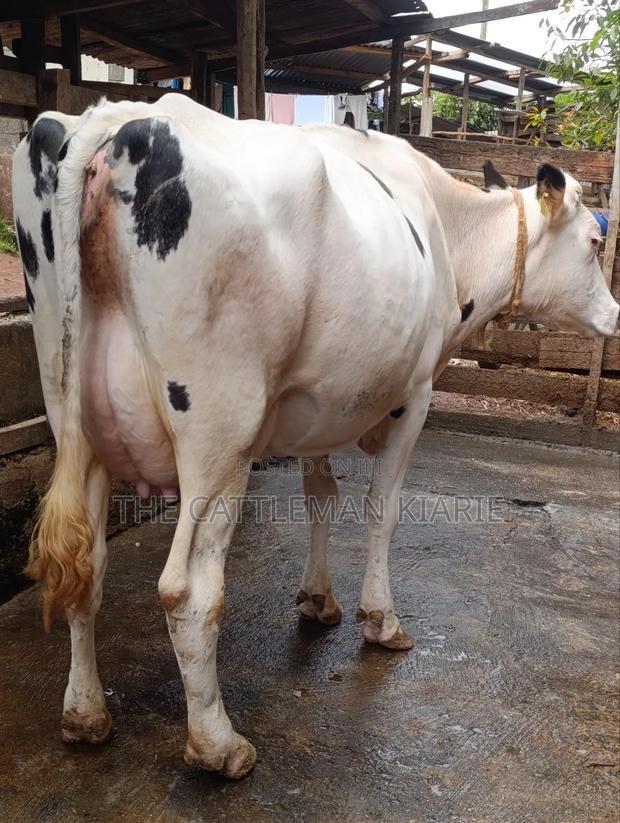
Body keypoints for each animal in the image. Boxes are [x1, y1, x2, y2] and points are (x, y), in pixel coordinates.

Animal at [12, 93, 618, 779]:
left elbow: (320, 497)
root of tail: (114, 119)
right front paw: (380, 620)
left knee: (86, 565)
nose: (615, 315)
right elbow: (382, 510)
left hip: (71, 408)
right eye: (596, 242)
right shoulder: (415, 396)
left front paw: (317, 599)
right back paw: (218, 744)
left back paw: (85, 715)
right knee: (187, 591)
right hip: (219, 435)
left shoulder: (324, 399)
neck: (446, 230)